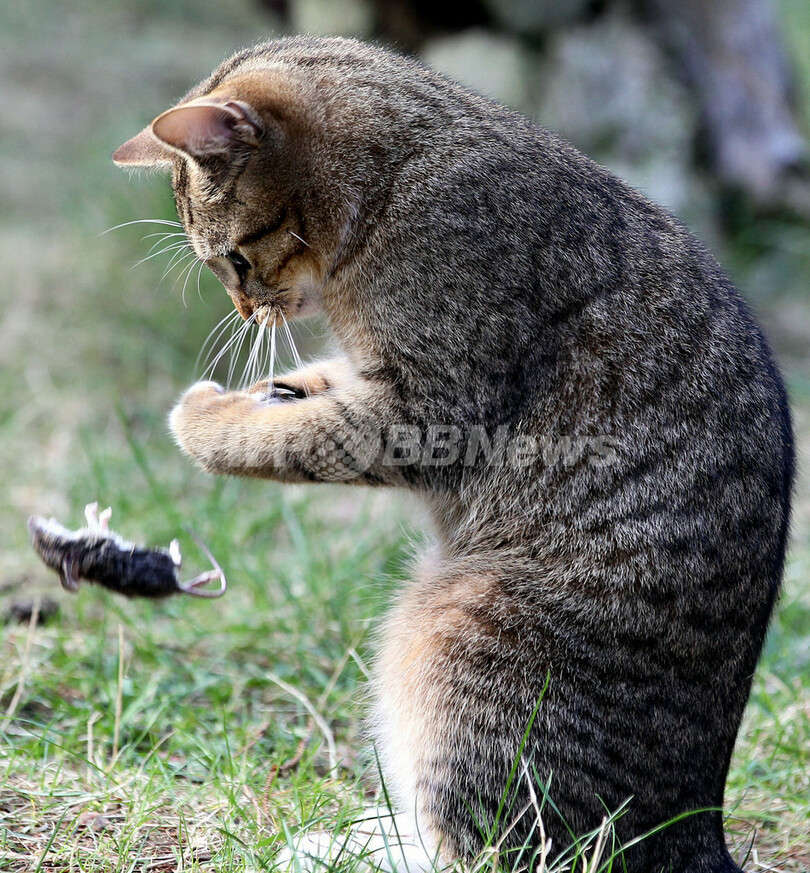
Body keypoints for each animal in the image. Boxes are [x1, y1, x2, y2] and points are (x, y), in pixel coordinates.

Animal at [112, 35, 788, 872]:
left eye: (233, 259)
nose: (246, 309)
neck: (393, 181)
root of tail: (696, 831)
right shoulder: (365, 376)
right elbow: (306, 392)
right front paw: (257, 390)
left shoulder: (431, 408)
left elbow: (291, 435)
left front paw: (202, 418)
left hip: (451, 630)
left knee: (487, 849)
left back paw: (340, 847)